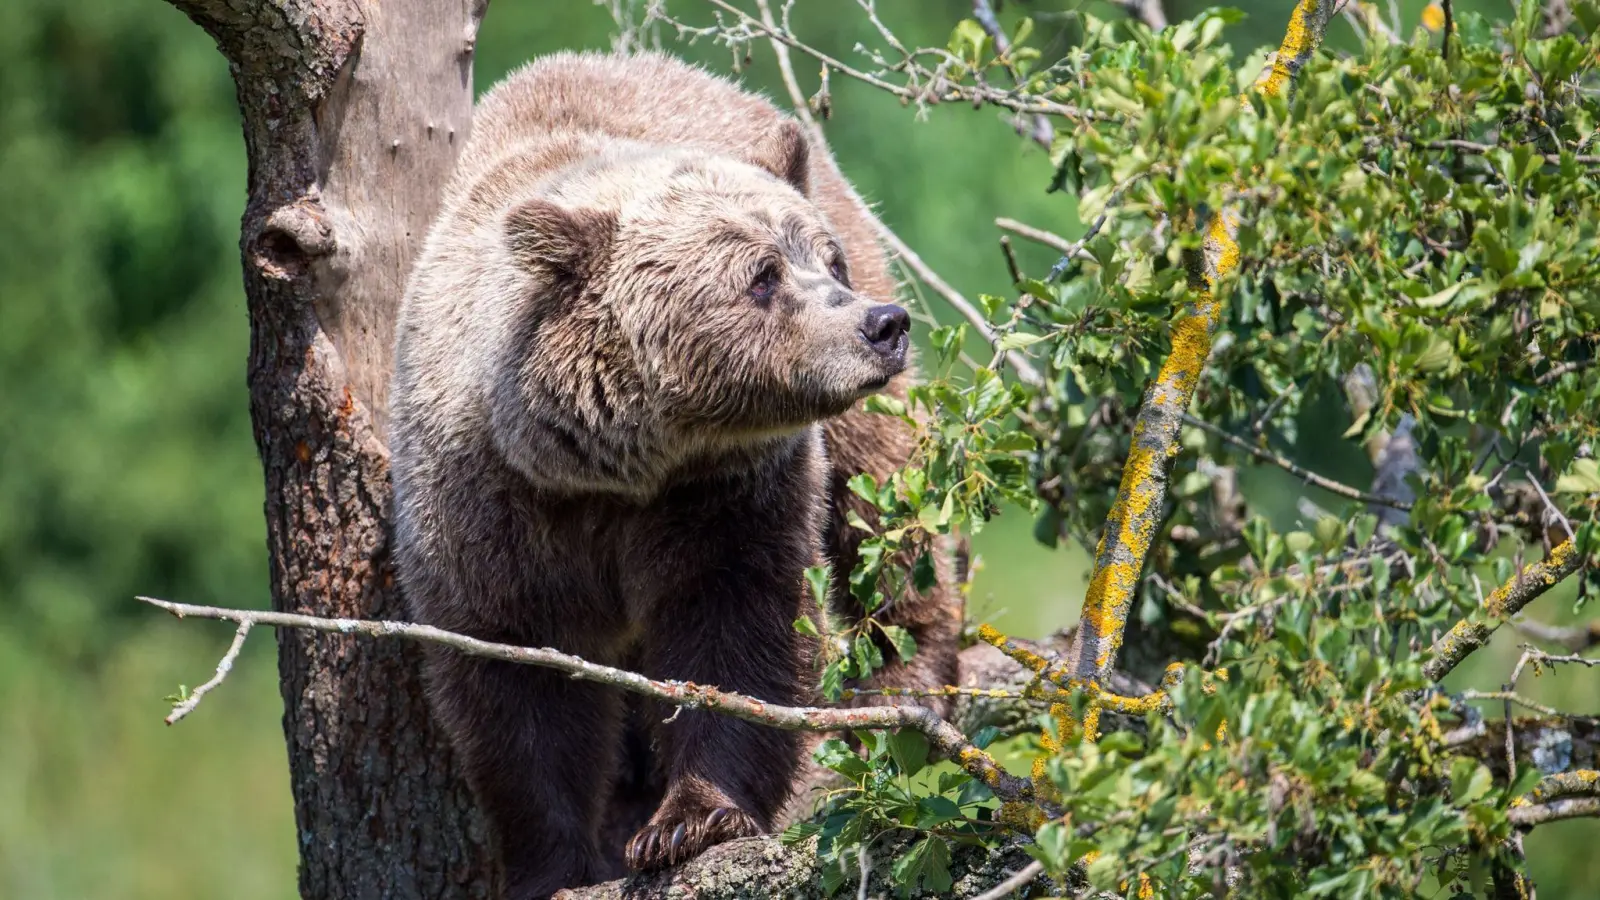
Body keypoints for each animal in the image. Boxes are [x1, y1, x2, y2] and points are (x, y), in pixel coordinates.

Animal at [392, 50, 953, 896]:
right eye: (761, 275)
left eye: (827, 260)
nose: (881, 325)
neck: (617, 465)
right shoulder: (489, 511)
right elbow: (516, 685)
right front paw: (555, 860)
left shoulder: (726, 495)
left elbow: (739, 631)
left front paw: (690, 820)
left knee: (882, 493)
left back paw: (909, 671)